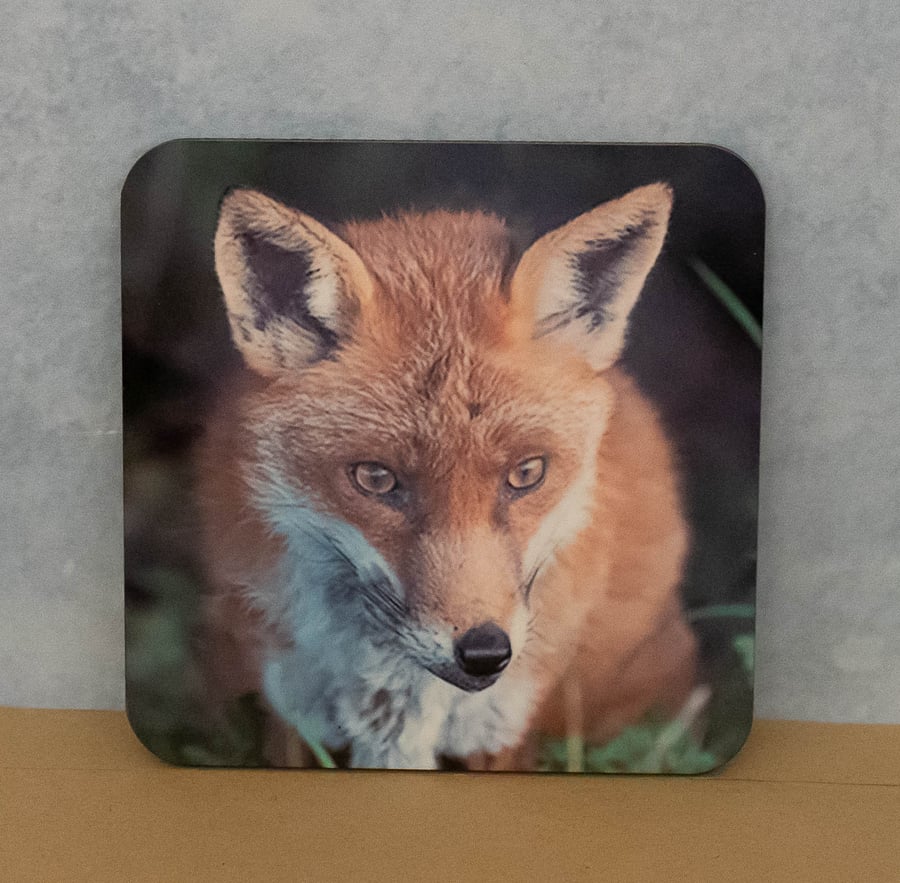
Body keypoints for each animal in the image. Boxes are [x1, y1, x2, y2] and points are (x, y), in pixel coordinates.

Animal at [195, 181, 698, 770]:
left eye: (527, 473)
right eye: (375, 479)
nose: (484, 652)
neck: (402, 709)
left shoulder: (504, 734)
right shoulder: (290, 714)